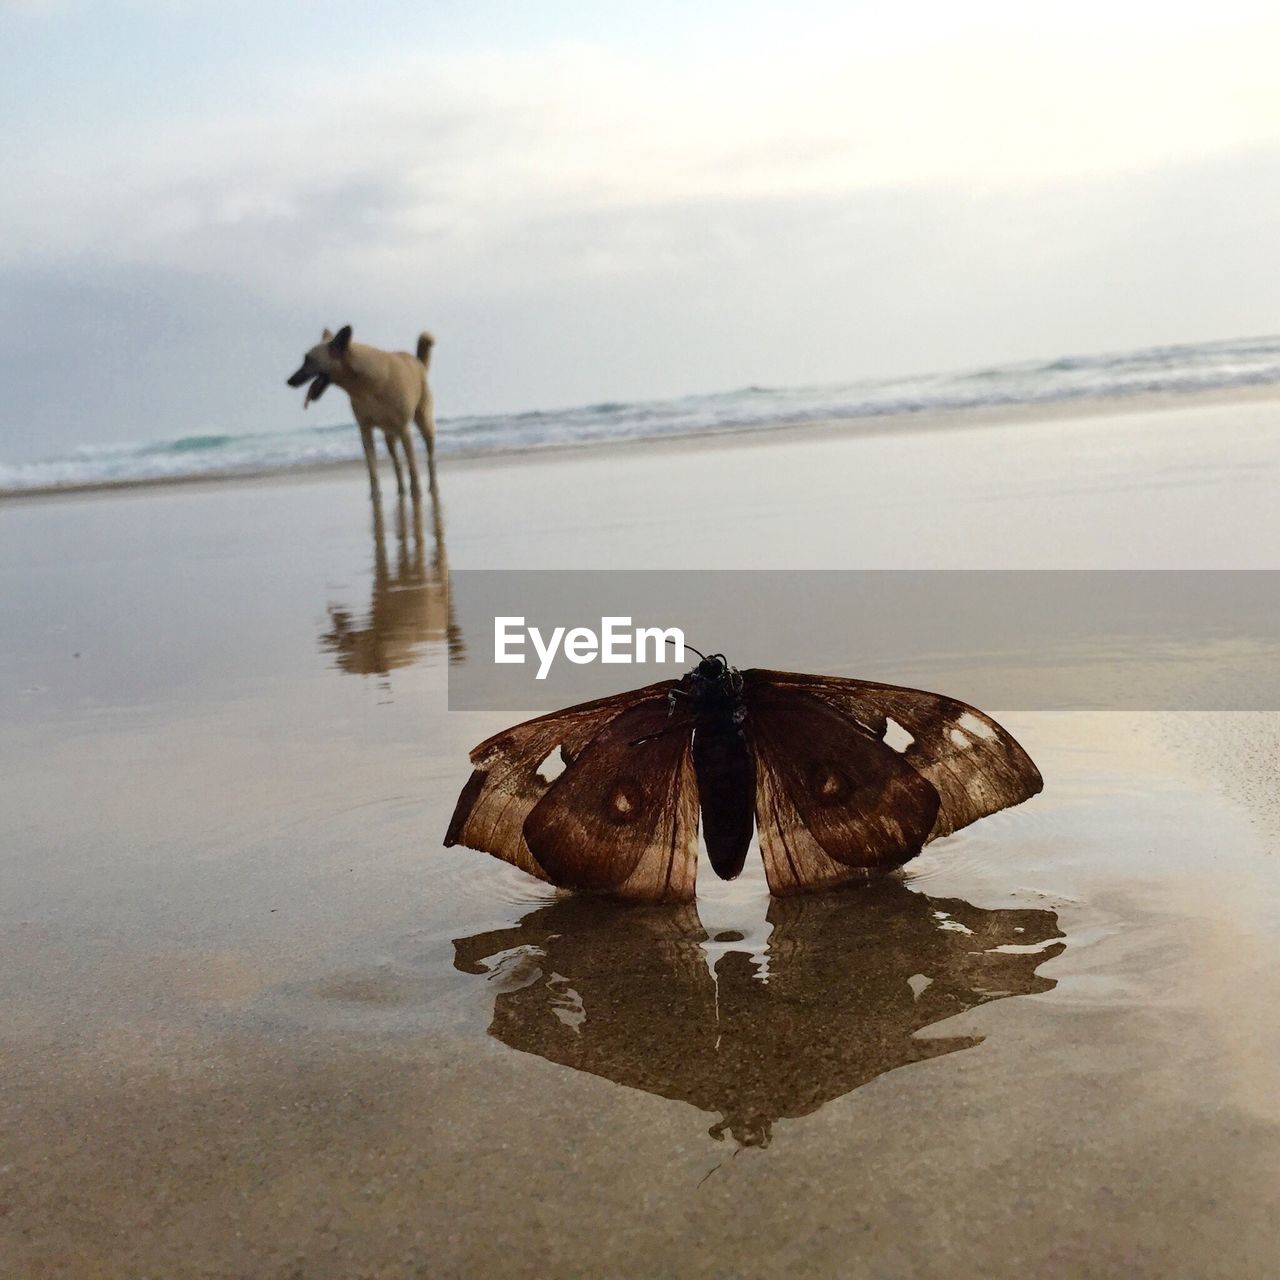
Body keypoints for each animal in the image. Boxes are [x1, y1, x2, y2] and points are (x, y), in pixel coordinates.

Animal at [286, 325, 435, 499]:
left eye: (308, 360)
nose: (288, 381)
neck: (367, 386)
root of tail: (418, 362)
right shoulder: (365, 430)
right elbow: (372, 467)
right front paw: (375, 494)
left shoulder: (404, 429)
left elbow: (412, 464)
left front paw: (416, 491)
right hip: (390, 437)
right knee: (397, 462)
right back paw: (401, 490)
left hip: (425, 425)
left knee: (429, 458)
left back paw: (430, 486)